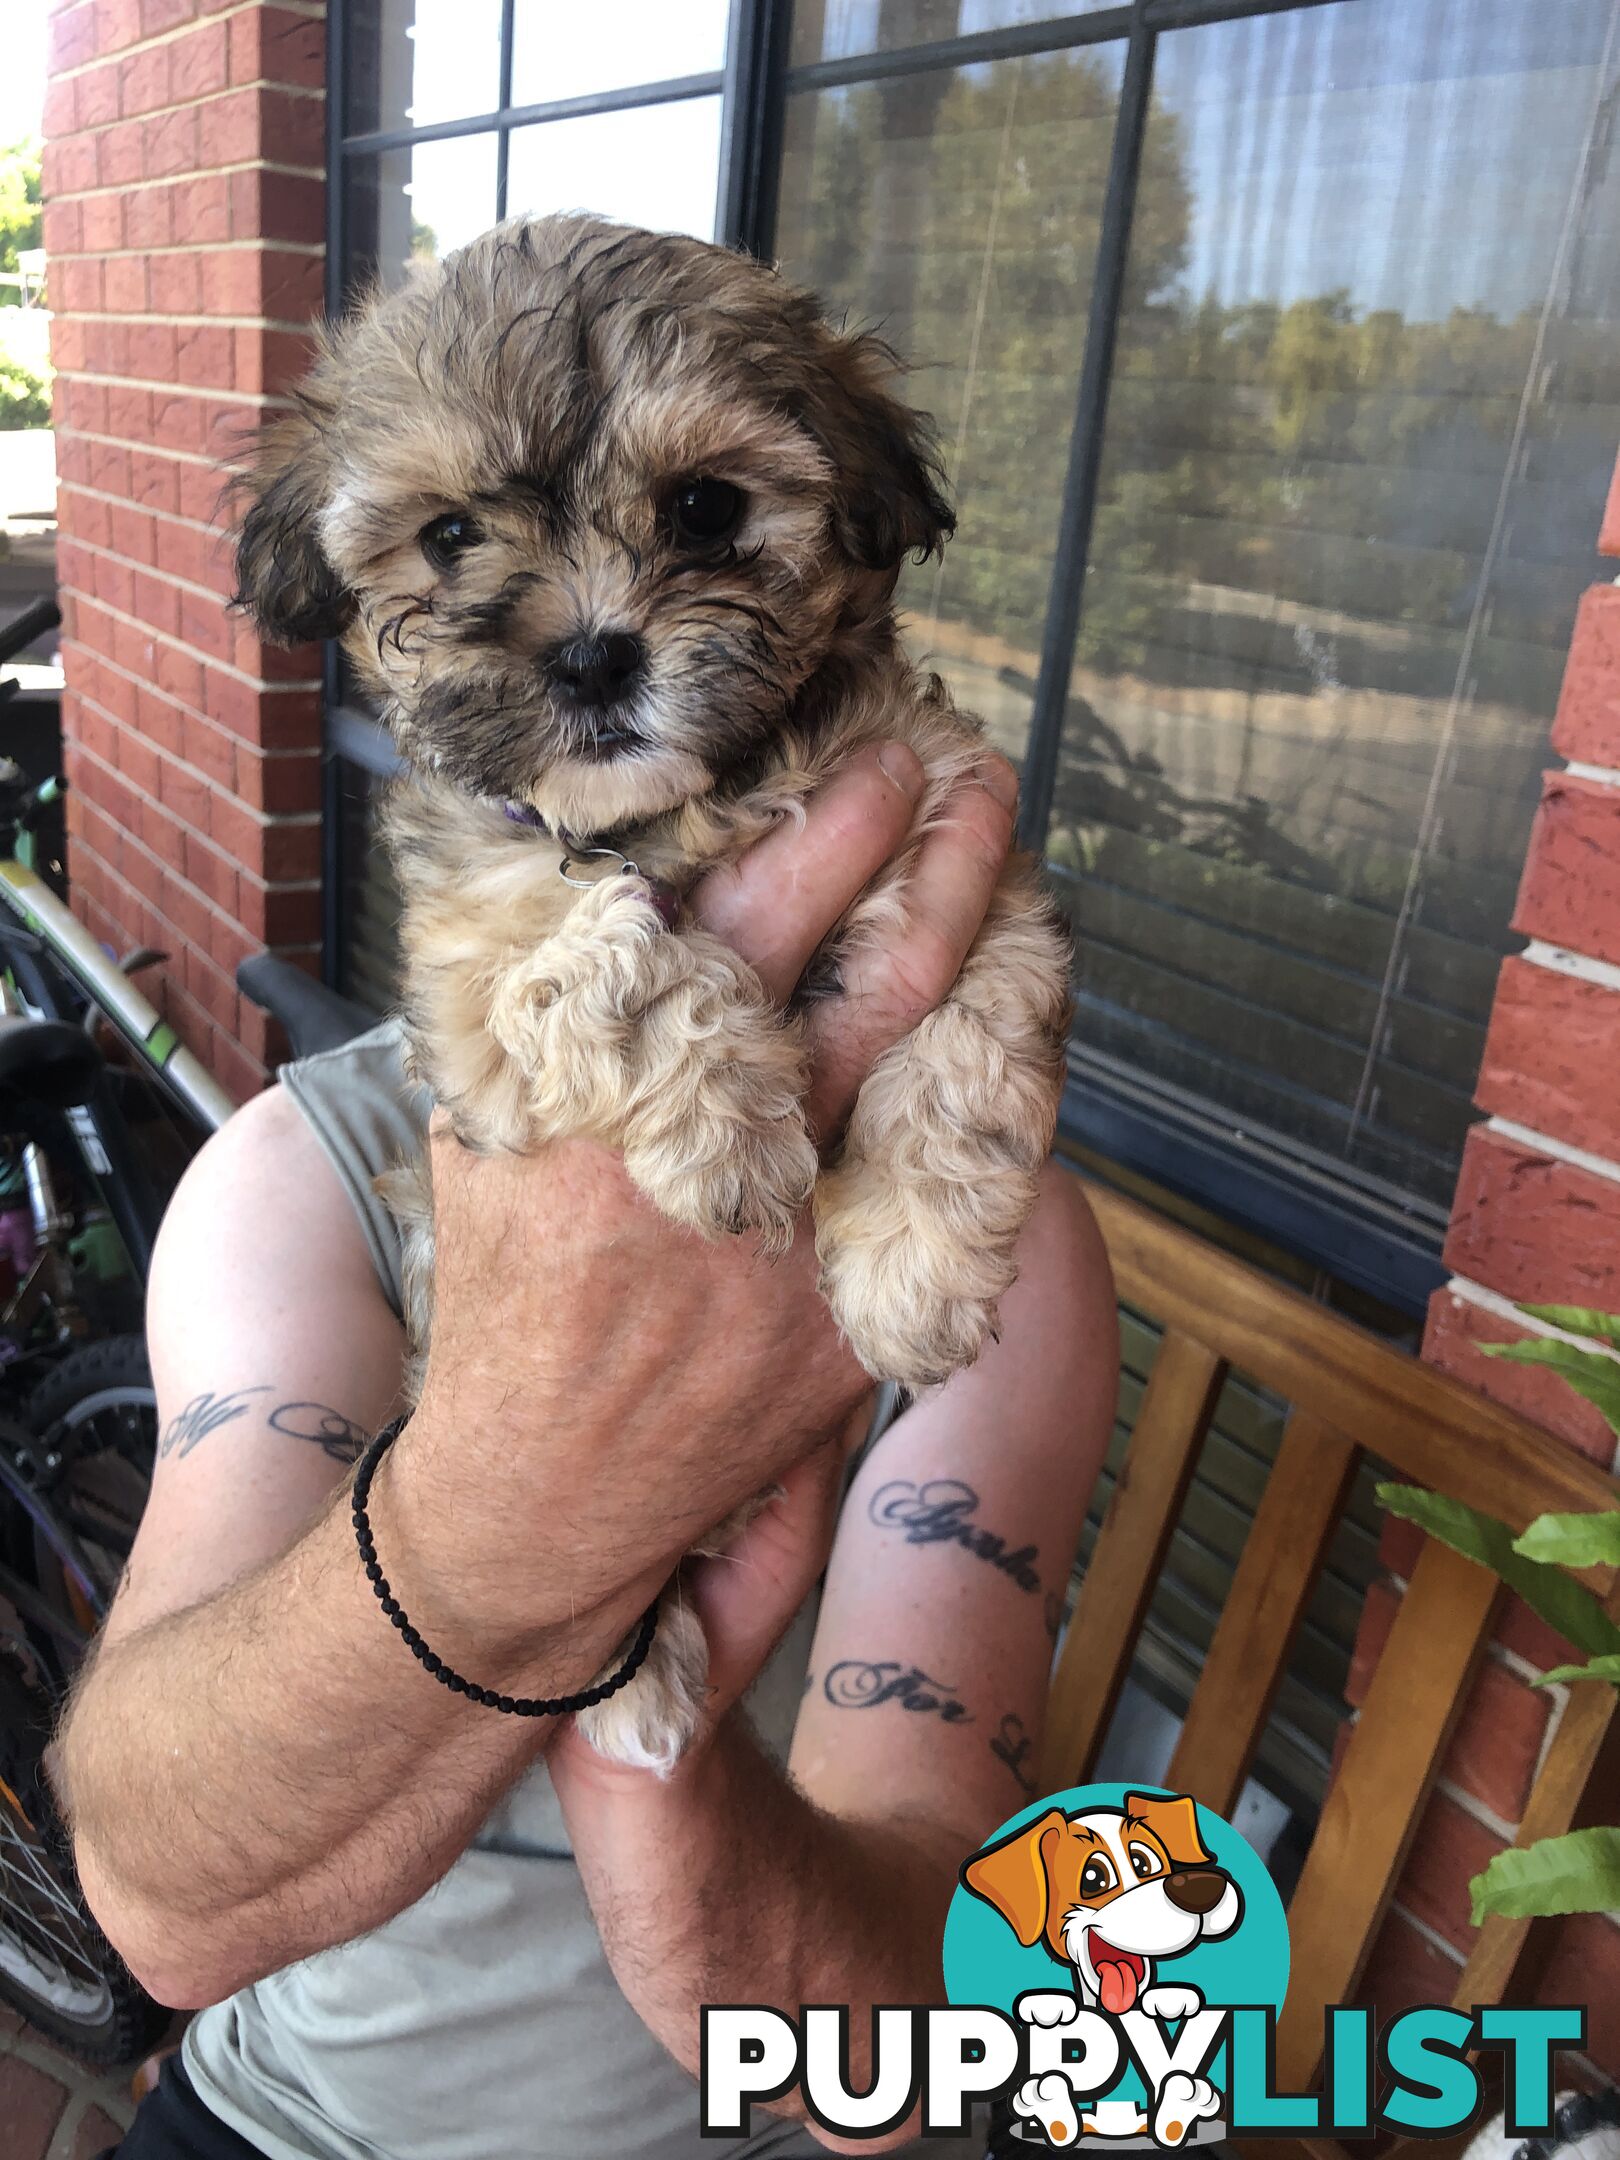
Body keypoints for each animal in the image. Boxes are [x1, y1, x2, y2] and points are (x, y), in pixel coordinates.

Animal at [225, 214, 1067, 1771]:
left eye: (706, 508)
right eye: (450, 535)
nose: (591, 653)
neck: (676, 812)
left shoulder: (960, 839)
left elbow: (970, 1042)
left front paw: (916, 1264)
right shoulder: (474, 994)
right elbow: (598, 953)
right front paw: (731, 1131)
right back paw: (642, 1674)